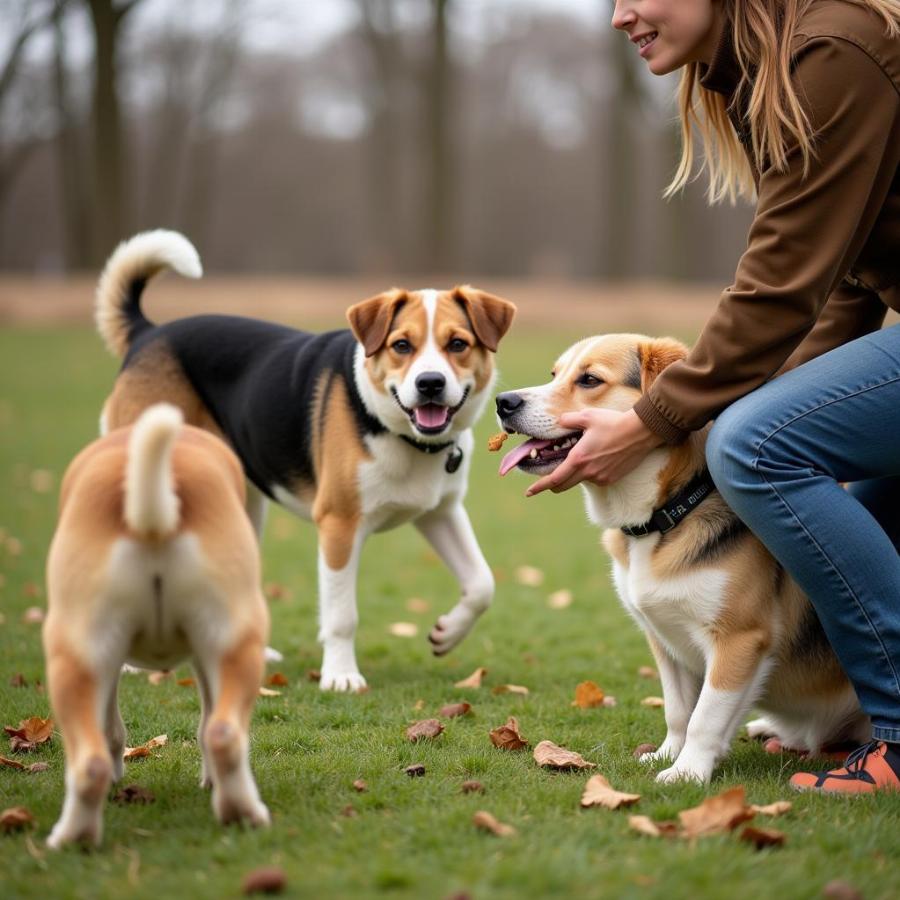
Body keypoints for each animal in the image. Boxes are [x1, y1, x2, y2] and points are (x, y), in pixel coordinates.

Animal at [95, 230, 512, 688]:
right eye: (402, 345)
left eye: (458, 344)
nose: (431, 383)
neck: (402, 435)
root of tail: (148, 334)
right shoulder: (339, 524)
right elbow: (342, 615)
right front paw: (341, 675)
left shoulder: (440, 511)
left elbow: (482, 583)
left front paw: (447, 634)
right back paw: (134, 662)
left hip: (240, 505)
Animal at [496, 334, 868, 784]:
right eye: (555, 374)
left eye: (588, 380)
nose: (502, 401)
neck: (665, 517)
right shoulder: (664, 639)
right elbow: (678, 712)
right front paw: (667, 755)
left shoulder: (738, 640)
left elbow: (705, 717)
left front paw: (687, 772)